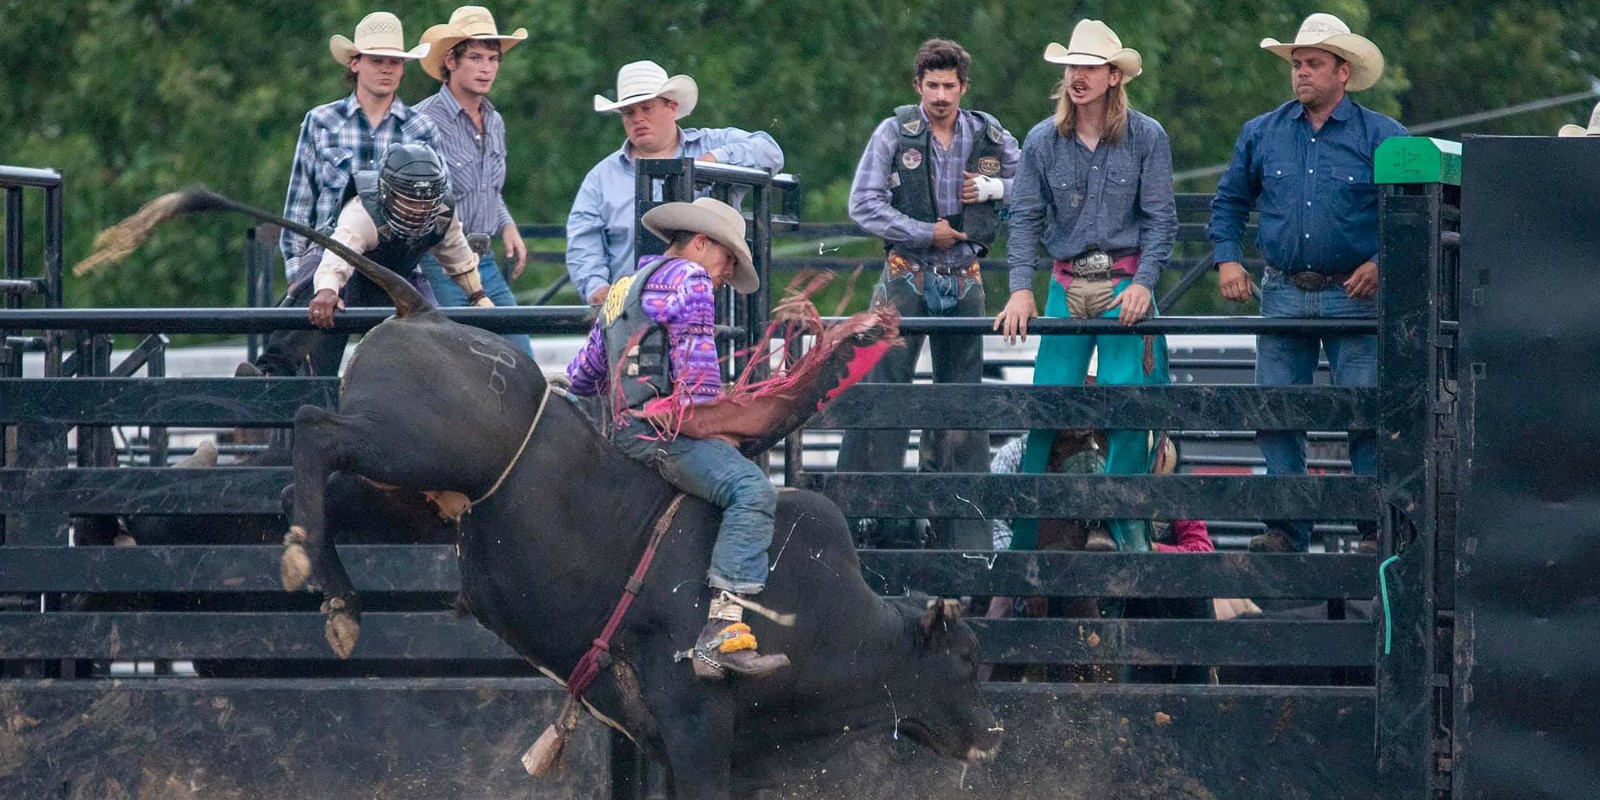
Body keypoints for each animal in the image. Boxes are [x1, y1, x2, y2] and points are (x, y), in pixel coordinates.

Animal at [84, 190, 998, 796]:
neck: (824, 611)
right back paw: (316, 573)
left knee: (308, 495)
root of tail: (419, 310)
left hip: (407, 497)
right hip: (409, 447)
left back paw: (334, 595)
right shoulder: (698, 728)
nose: (988, 739)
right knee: (313, 426)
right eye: (967, 661)